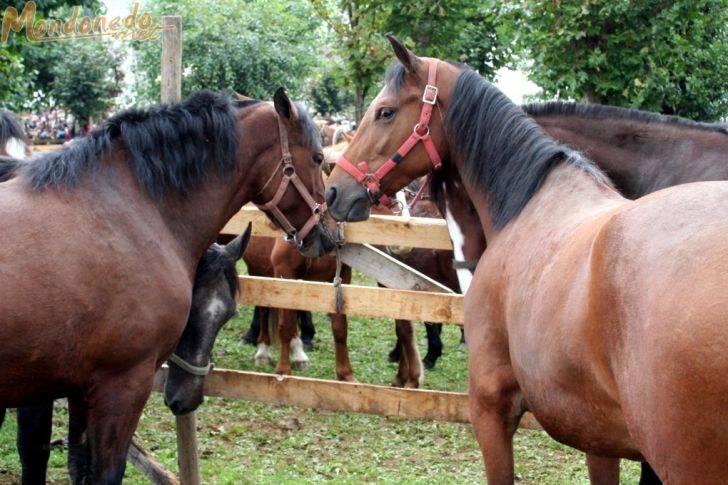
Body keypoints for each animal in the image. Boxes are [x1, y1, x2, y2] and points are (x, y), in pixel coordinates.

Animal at [0, 89, 336, 482]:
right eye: (318, 157)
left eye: (225, 315)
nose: (330, 232)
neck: (130, 210)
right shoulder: (121, 384)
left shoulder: (79, 387)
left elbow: (77, 464)